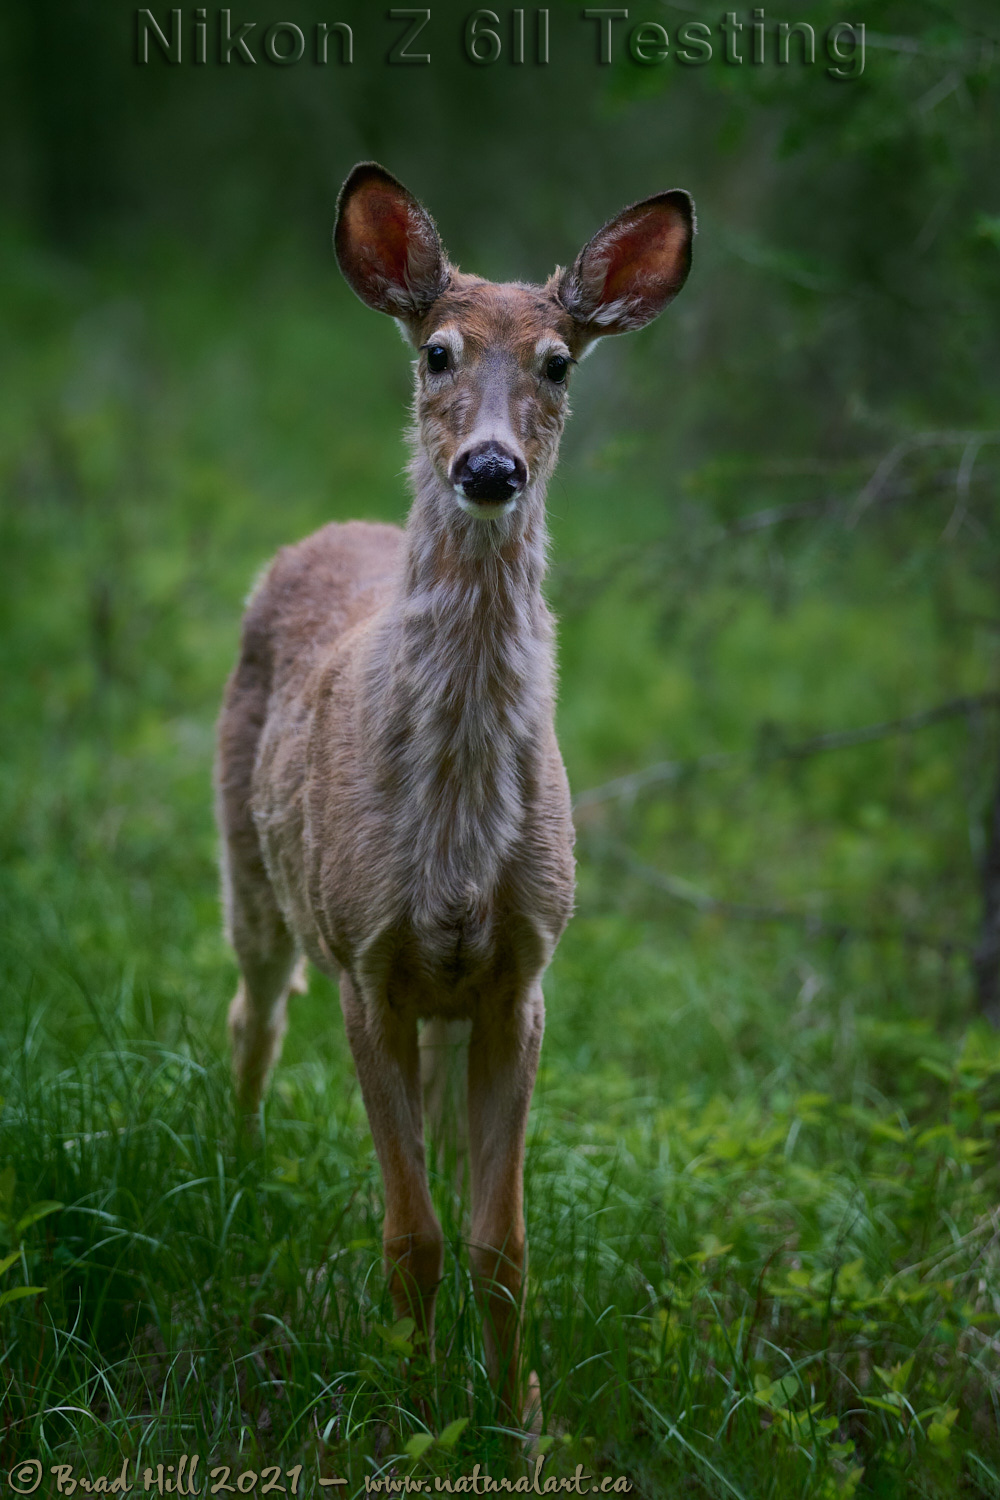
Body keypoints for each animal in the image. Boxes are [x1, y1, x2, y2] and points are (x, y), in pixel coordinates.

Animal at [214, 161, 692, 1416]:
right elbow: (411, 1239)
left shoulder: (520, 974)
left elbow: (498, 1244)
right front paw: (415, 1409)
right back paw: (238, 1180)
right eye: (435, 350)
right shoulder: (365, 960)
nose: (488, 467)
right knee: (251, 1011)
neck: (456, 838)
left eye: (559, 361)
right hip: (252, 873)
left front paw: (517, 1416)